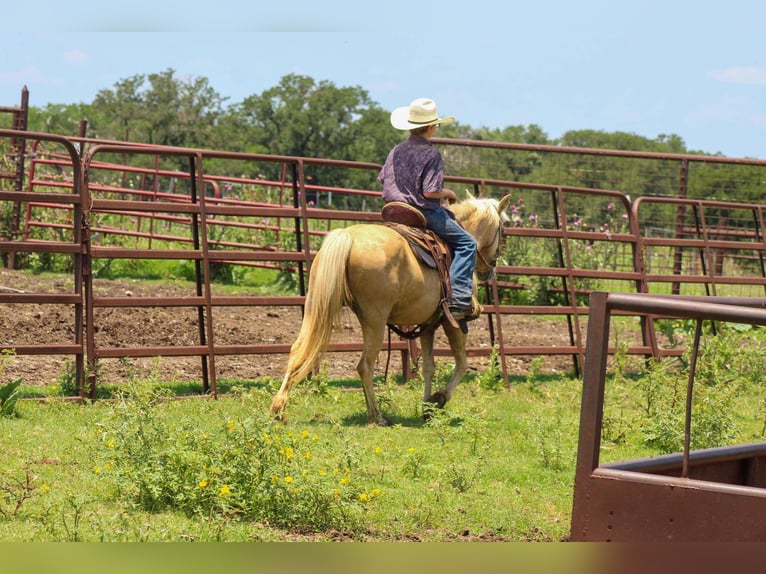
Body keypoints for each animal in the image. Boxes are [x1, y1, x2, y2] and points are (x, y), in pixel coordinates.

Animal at [270, 193, 512, 425]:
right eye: (504, 230)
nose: (489, 270)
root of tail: (347, 236)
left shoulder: (428, 325)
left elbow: (429, 367)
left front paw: (427, 407)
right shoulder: (454, 321)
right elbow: (462, 364)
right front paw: (438, 399)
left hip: (316, 307)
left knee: (298, 349)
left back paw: (278, 408)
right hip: (374, 320)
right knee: (365, 366)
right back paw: (377, 416)